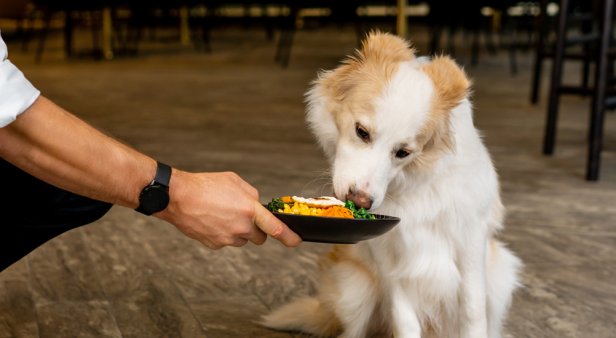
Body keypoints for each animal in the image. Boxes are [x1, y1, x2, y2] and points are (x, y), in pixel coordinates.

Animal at [262, 32, 524, 338]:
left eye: (403, 152)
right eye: (361, 132)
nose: (361, 202)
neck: (418, 184)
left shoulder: (470, 241)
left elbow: (473, 312)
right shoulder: (386, 252)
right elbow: (405, 319)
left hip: (502, 271)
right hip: (355, 290)